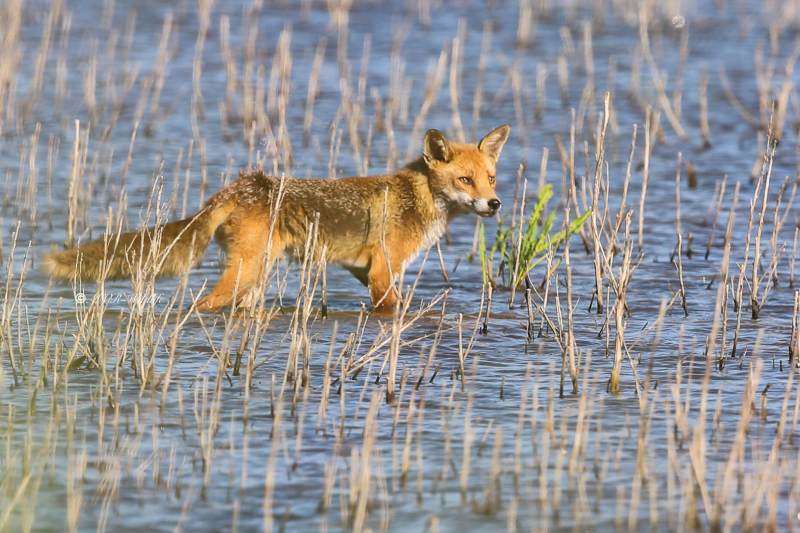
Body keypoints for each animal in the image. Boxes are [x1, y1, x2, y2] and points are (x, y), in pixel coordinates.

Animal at [44, 125, 511, 311]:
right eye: (465, 180)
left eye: (490, 178)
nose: (494, 204)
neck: (419, 197)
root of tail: (238, 186)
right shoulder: (382, 271)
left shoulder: (365, 271)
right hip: (245, 273)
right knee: (202, 304)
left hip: (255, 278)